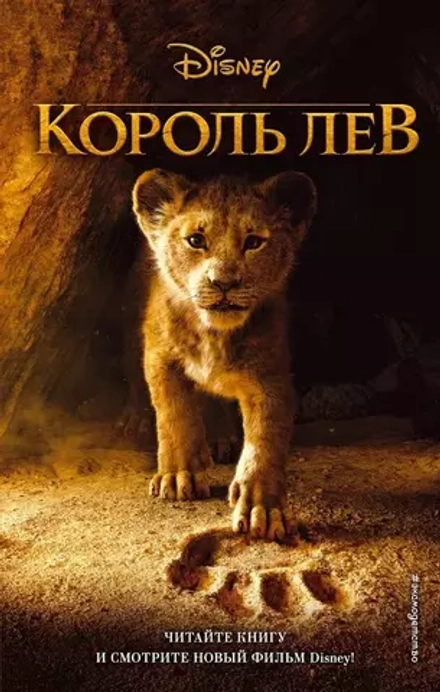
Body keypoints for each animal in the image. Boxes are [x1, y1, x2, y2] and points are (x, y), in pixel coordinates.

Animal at [129, 168, 317, 541]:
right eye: (195, 240)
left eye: (254, 242)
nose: (224, 282)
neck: (213, 334)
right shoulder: (160, 357)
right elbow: (174, 415)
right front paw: (178, 476)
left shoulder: (271, 377)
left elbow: (265, 440)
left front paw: (263, 509)